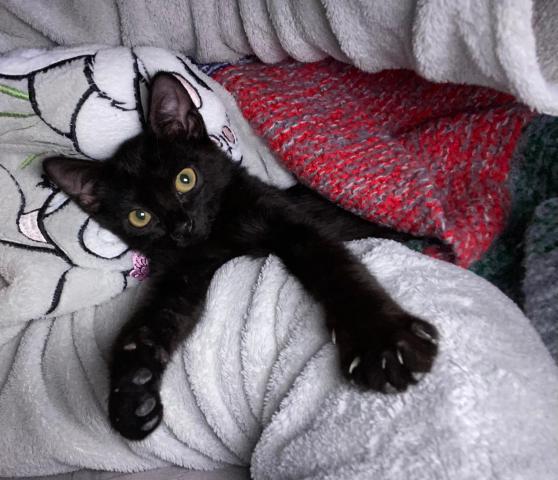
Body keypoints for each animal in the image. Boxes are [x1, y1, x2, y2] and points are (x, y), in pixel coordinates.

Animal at [44, 72, 439, 440]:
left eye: (185, 179)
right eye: (139, 216)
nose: (182, 226)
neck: (218, 235)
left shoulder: (293, 225)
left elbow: (336, 270)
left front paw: (383, 342)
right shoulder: (182, 275)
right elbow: (148, 323)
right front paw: (132, 392)